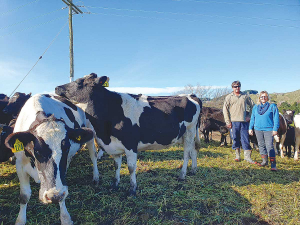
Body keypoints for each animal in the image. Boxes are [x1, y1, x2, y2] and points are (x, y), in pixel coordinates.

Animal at [4, 94, 99, 225]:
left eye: (66, 147)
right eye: (37, 151)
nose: (53, 196)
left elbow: (62, 193)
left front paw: (65, 218)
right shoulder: (20, 164)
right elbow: (24, 195)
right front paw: (20, 220)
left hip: (90, 132)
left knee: (93, 155)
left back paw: (96, 176)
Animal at [55, 73, 203, 195]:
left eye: (79, 82)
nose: (56, 88)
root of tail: (190, 95)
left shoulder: (131, 144)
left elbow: (131, 168)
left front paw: (132, 189)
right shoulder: (114, 145)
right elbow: (117, 165)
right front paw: (115, 184)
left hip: (189, 131)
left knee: (187, 153)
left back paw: (182, 175)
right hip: (186, 134)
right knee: (194, 150)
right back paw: (194, 169)